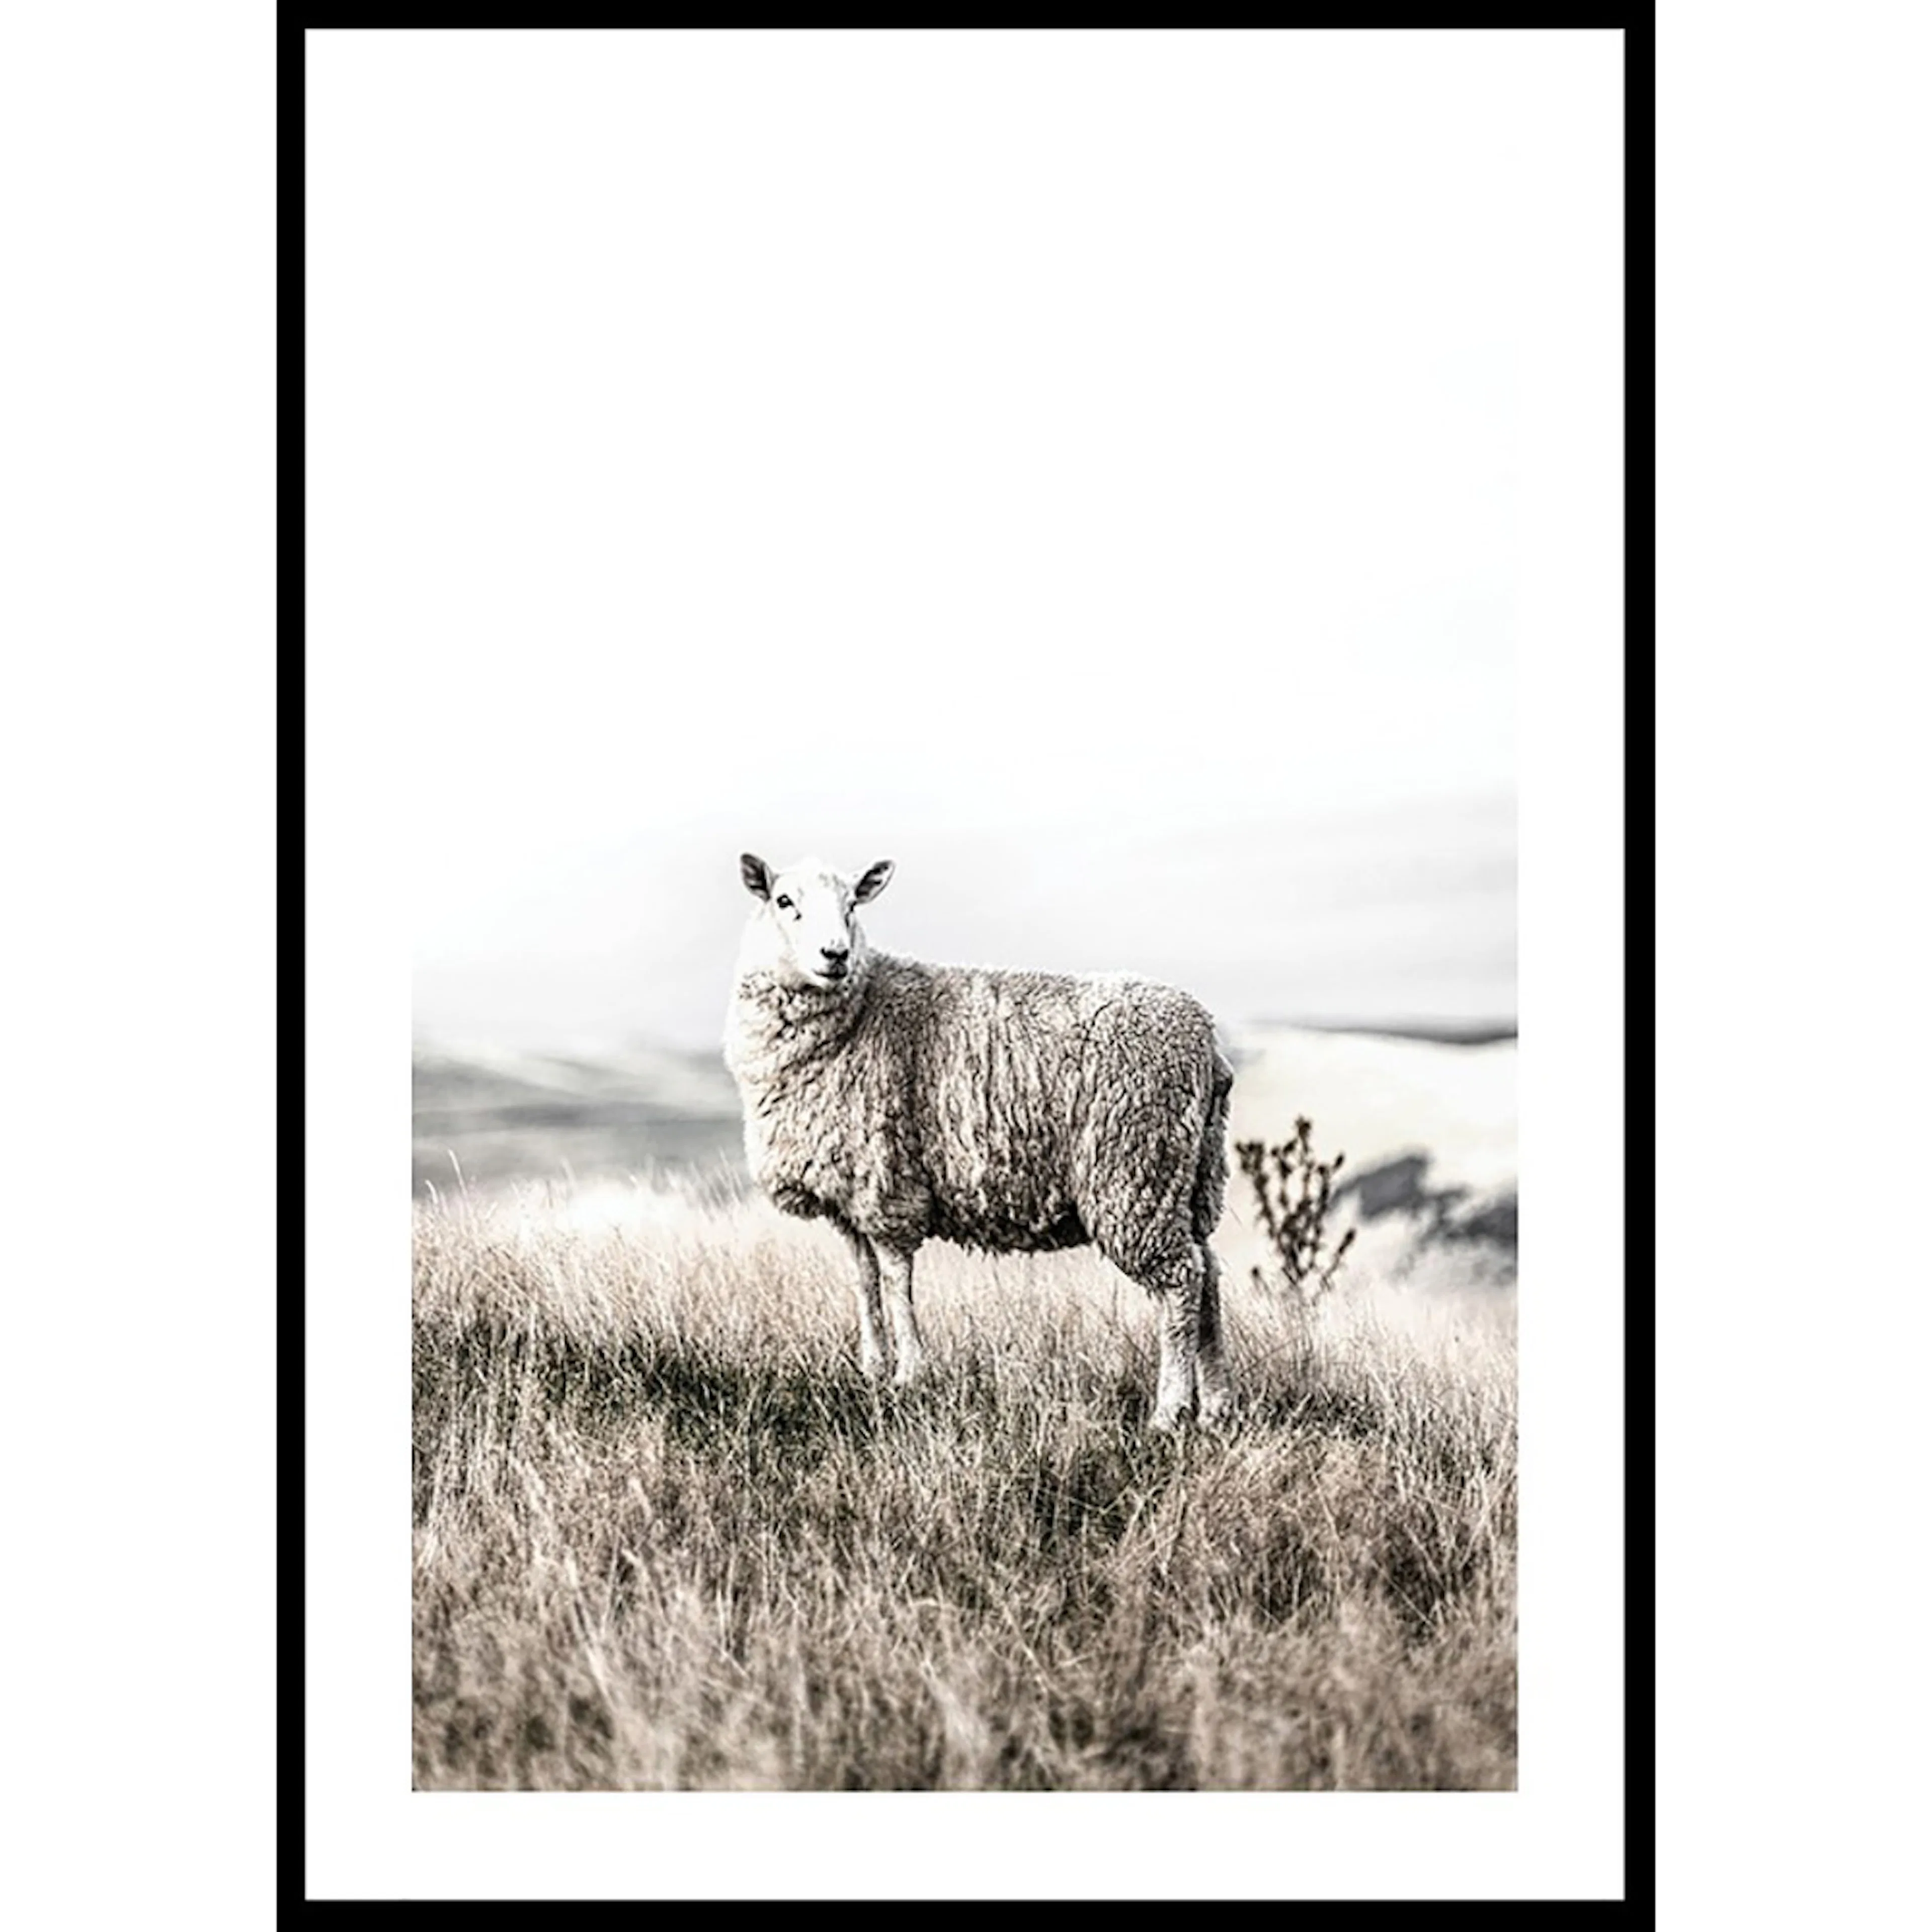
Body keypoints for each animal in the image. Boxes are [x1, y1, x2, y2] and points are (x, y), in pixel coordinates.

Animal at [722, 851, 1235, 1429]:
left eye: (853, 904)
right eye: (784, 901)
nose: (836, 955)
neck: (860, 1011)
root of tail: (1207, 1041)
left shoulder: (889, 1184)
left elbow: (896, 1281)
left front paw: (909, 1374)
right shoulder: (849, 1196)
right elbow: (865, 1281)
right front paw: (872, 1368)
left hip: (1135, 1171)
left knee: (1181, 1281)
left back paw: (1170, 1411)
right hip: (1188, 1178)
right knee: (1208, 1276)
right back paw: (1216, 1407)